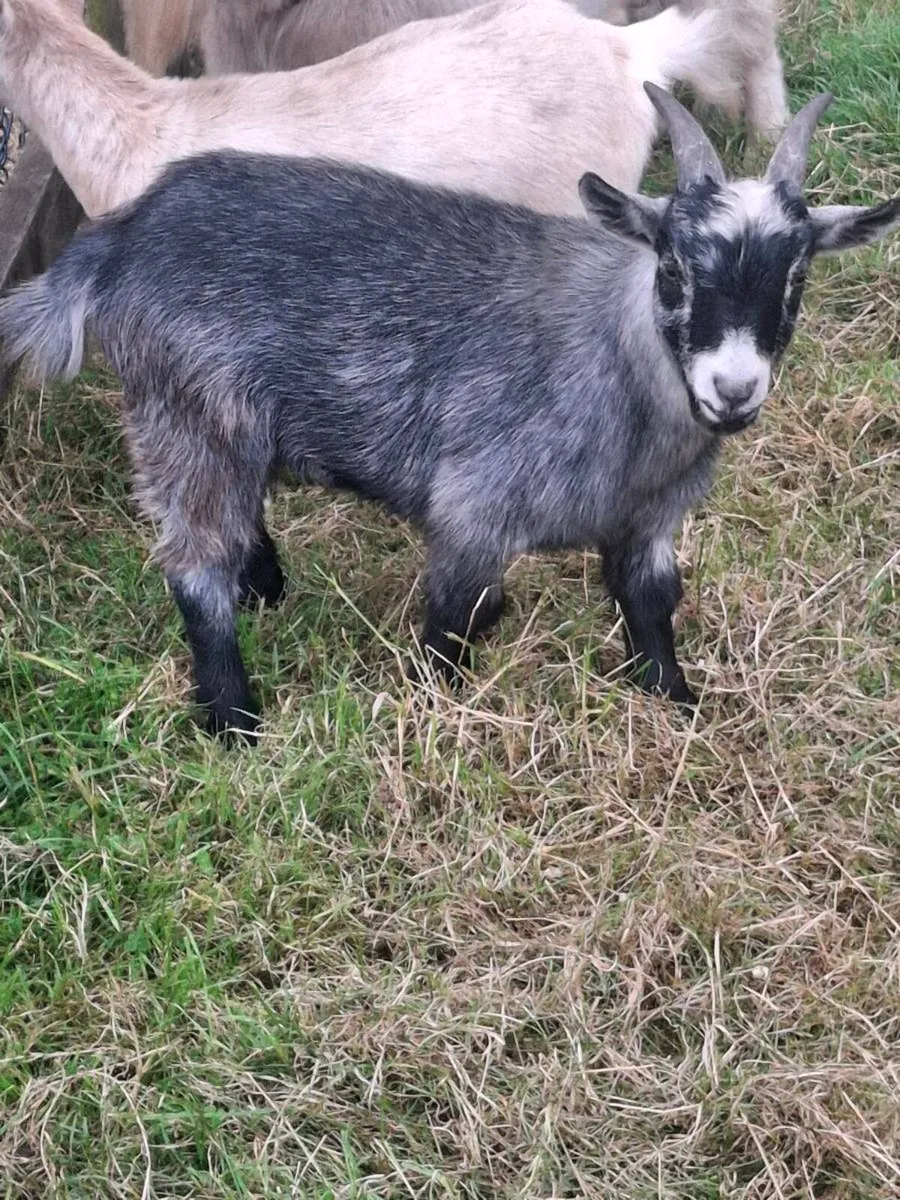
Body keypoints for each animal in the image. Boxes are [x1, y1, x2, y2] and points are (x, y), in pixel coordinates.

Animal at [2, 86, 897, 741]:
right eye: (674, 268)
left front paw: (676, 708)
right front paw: (427, 709)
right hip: (187, 418)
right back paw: (234, 721)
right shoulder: (474, 509)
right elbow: (456, 621)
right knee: (195, 567)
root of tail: (120, 240)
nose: (733, 390)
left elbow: (650, 607)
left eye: (797, 279)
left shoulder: (646, 524)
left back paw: (267, 590)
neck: (616, 365)